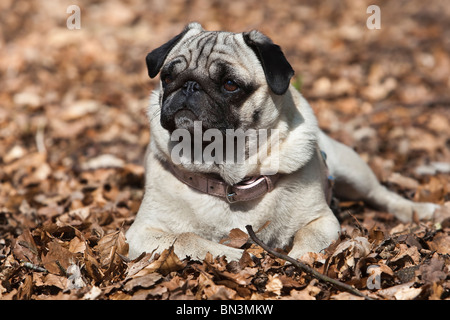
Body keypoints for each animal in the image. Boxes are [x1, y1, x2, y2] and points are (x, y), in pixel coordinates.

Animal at [125, 23, 438, 262]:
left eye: (230, 84)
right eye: (168, 77)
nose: (190, 85)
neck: (228, 176)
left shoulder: (321, 221)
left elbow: (308, 241)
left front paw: (297, 262)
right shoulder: (140, 234)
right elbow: (185, 238)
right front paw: (236, 255)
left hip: (353, 172)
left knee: (381, 194)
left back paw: (421, 211)